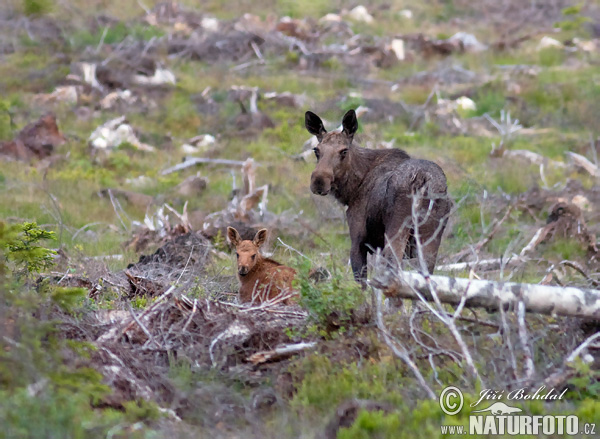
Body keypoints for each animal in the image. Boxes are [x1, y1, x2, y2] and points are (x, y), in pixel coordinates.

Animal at [304, 110, 450, 282]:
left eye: (344, 151)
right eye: (316, 150)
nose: (319, 181)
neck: (351, 191)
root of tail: (423, 179)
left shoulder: (358, 241)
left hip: (396, 231)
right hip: (430, 238)